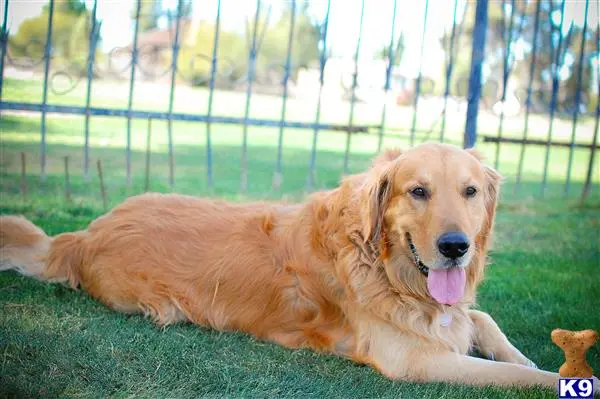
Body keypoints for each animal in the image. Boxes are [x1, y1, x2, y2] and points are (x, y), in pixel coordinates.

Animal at [1, 143, 596, 390]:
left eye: (470, 192)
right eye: (418, 191)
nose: (456, 246)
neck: (382, 265)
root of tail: (84, 233)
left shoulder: (446, 320)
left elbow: (487, 325)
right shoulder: (416, 361)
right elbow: (515, 375)